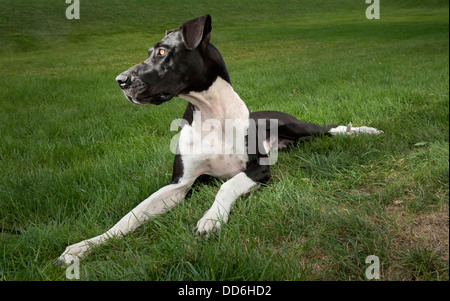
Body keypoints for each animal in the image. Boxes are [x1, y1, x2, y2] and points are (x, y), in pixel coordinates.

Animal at [55, 14, 380, 264]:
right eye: (150, 52)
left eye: (162, 52)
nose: (121, 81)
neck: (210, 114)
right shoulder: (179, 184)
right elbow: (132, 215)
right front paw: (86, 245)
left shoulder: (258, 169)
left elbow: (226, 186)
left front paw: (210, 219)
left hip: (301, 128)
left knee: (333, 128)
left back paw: (367, 131)